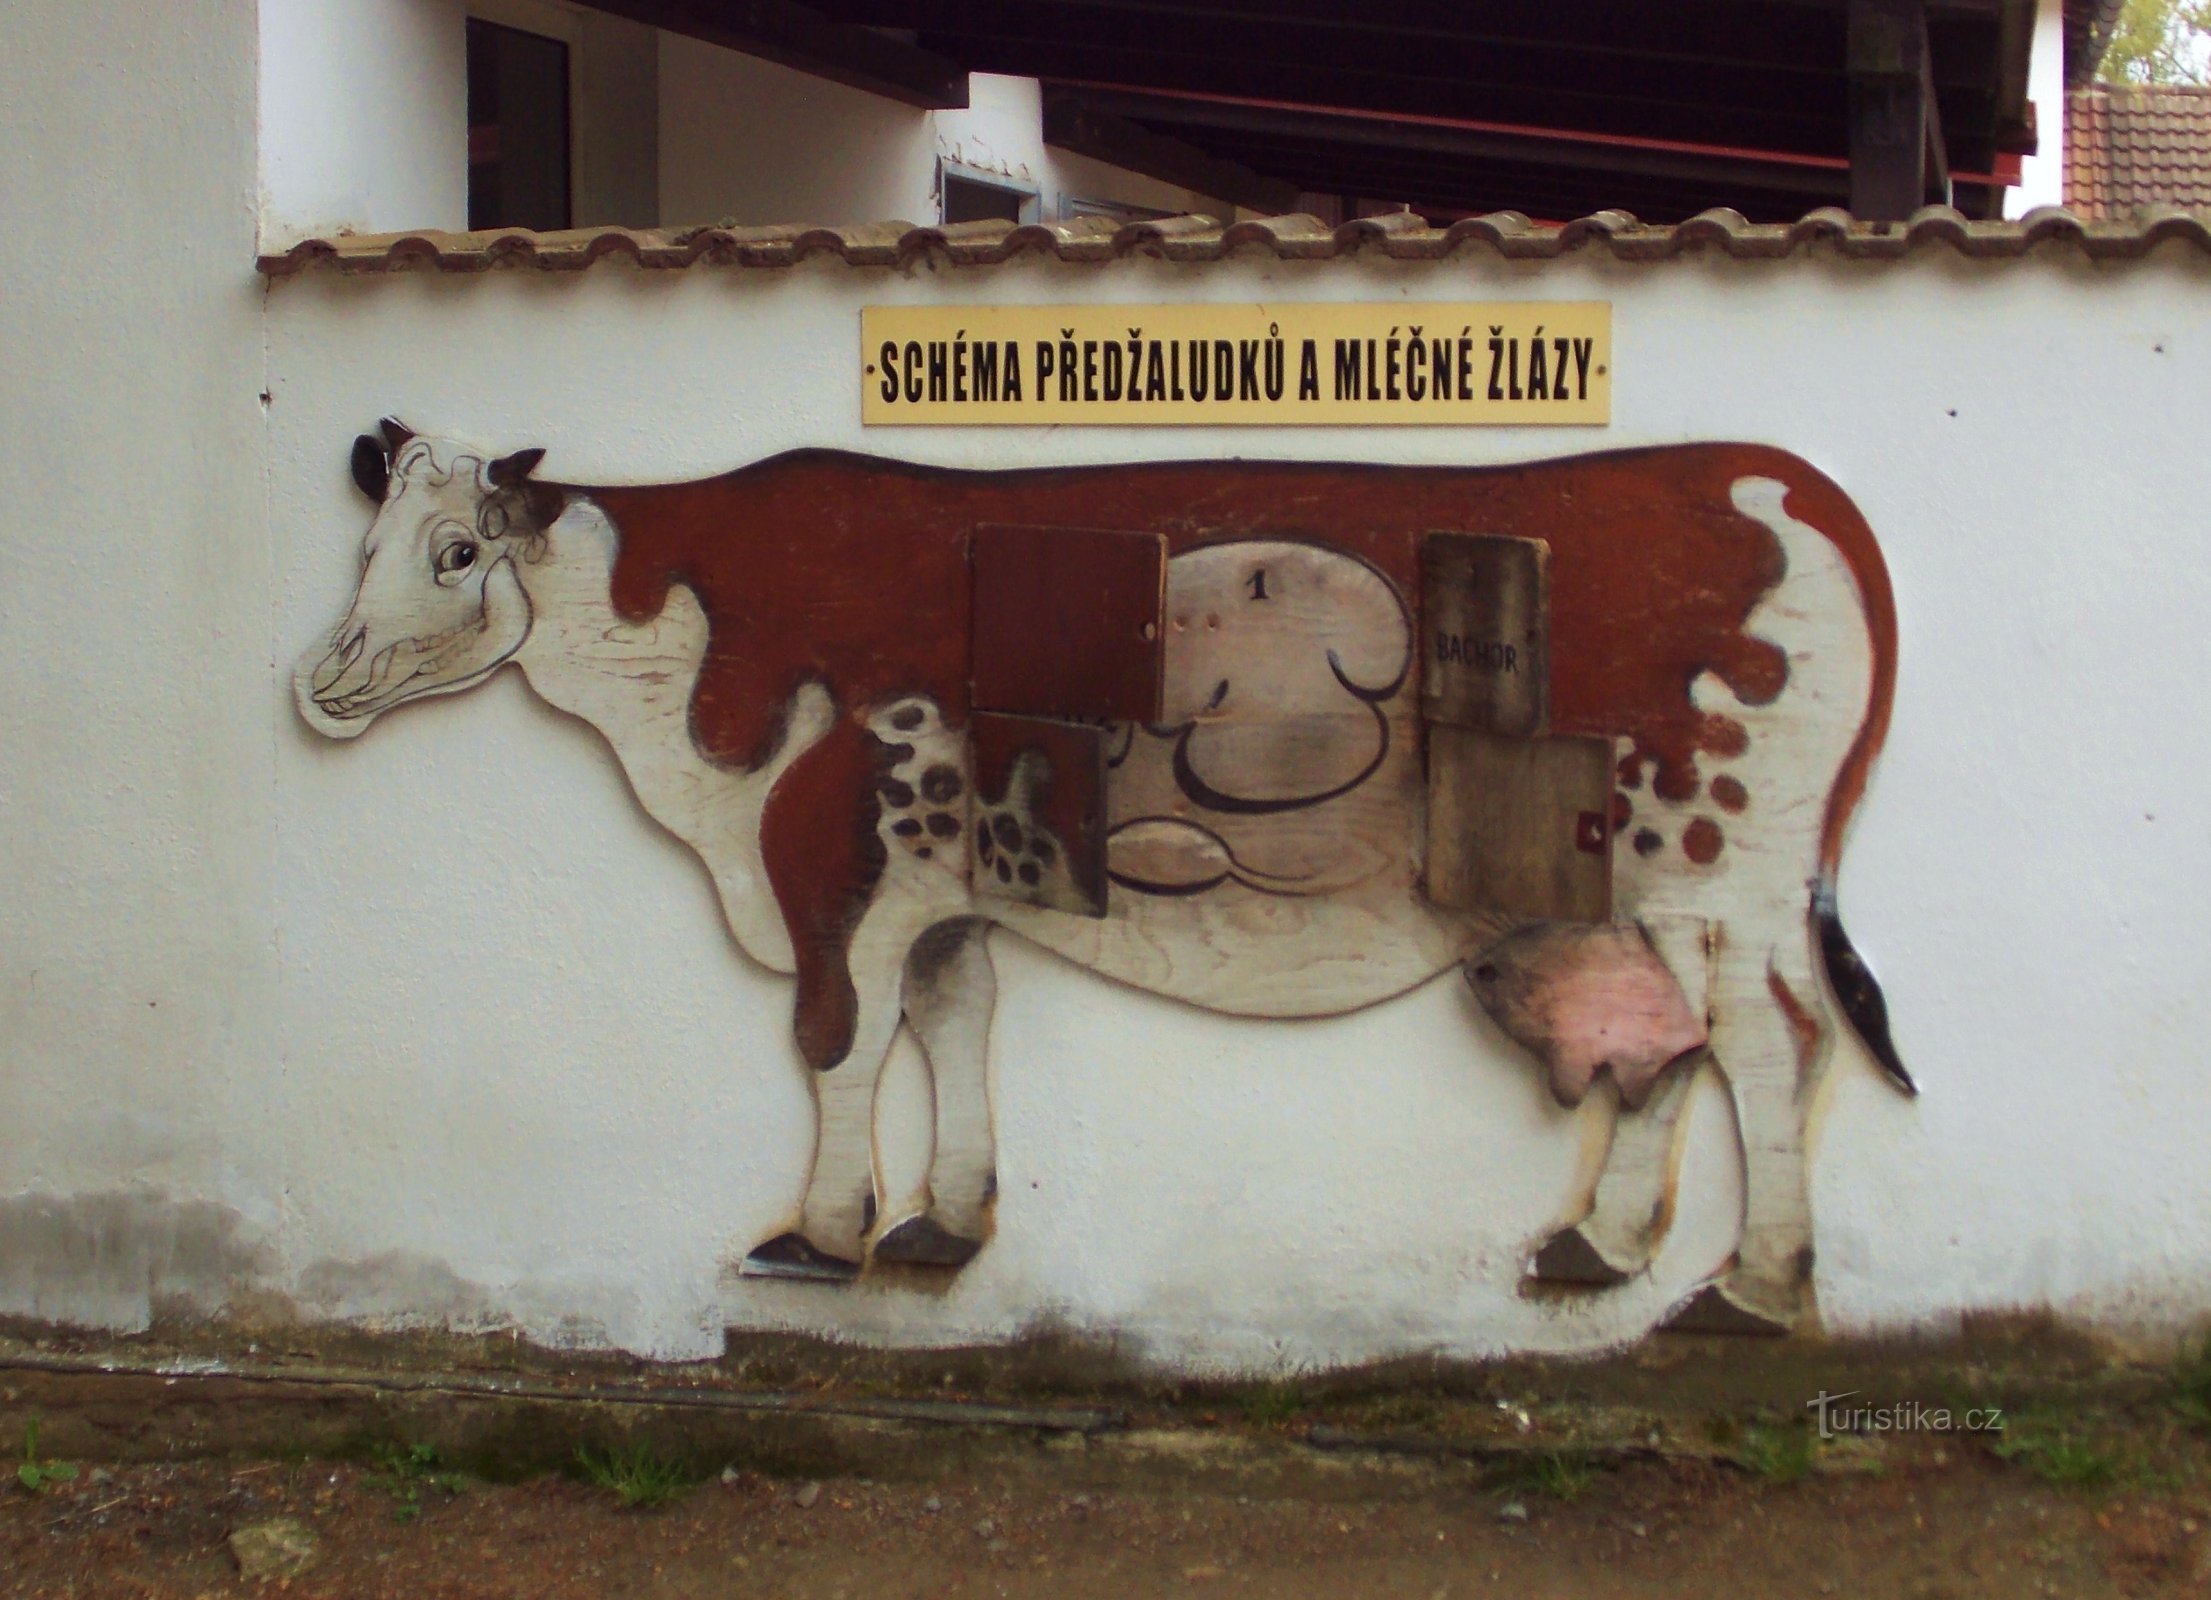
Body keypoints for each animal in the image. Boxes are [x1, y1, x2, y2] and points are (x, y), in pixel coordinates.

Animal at [302, 424, 1910, 1334]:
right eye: (365, 540)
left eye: (455, 551)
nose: (323, 682)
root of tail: (1772, 475)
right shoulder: (935, 890)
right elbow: (952, 1024)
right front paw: (940, 1222)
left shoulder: (829, 864)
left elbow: (834, 1043)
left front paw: (816, 1239)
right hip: (1680, 900)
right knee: (1683, 1051)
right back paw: (1598, 1247)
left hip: (1717, 870)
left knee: (1771, 1050)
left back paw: (1751, 1286)